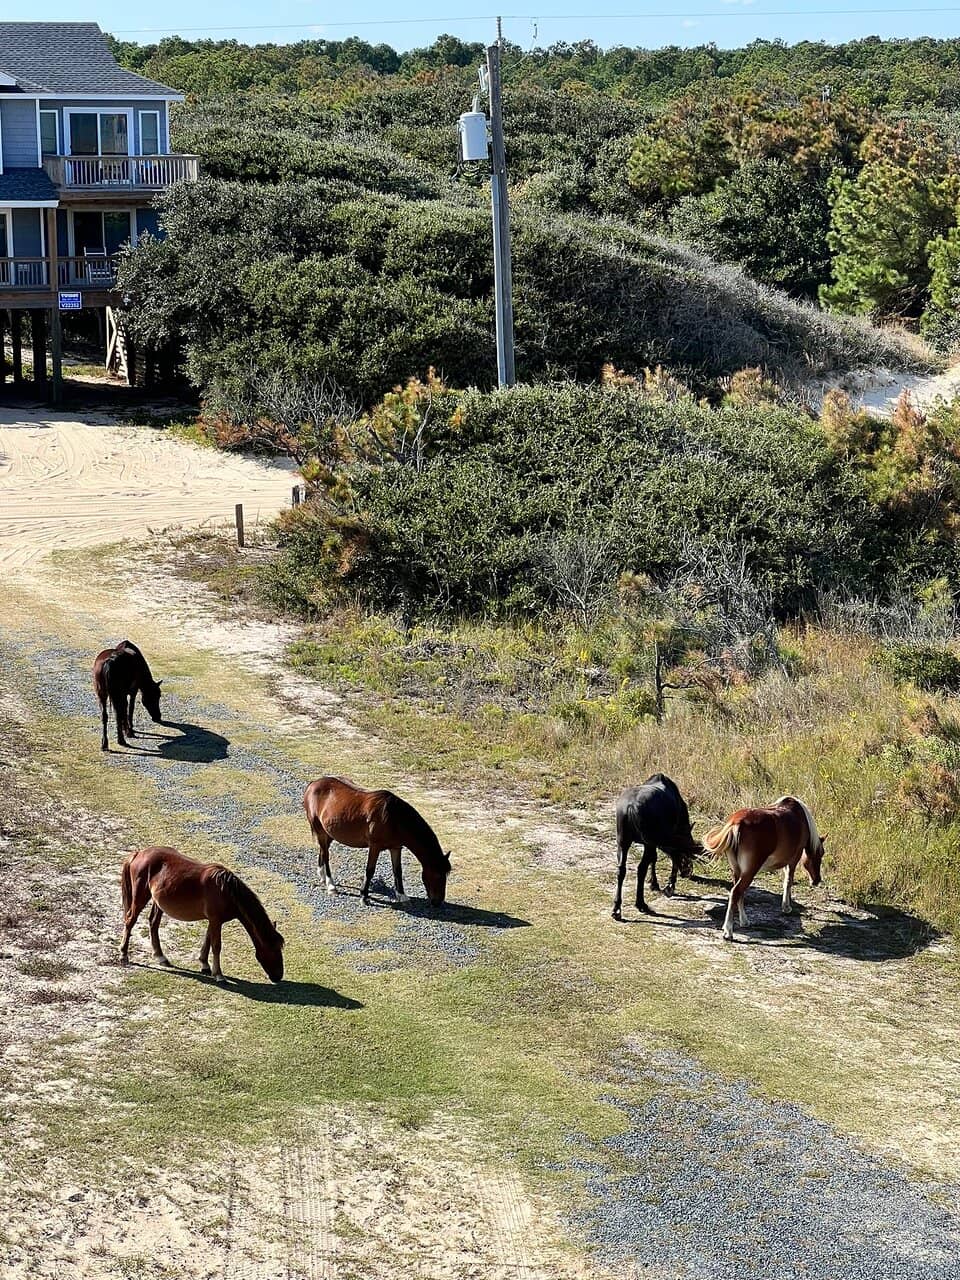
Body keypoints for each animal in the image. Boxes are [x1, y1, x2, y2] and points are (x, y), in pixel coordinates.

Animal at [119, 846, 284, 982]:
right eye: (274, 950)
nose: (278, 976)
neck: (226, 890)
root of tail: (139, 853)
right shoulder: (216, 920)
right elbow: (216, 945)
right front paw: (219, 974)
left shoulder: (214, 920)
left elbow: (208, 940)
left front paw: (205, 965)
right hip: (140, 897)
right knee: (130, 920)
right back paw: (124, 955)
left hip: (158, 903)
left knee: (153, 923)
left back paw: (161, 957)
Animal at [303, 776, 451, 908]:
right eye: (438, 875)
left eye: (446, 875)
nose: (437, 902)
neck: (394, 818)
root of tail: (313, 785)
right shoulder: (375, 846)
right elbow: (370, 870)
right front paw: (364, 896)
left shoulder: (396, 847)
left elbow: (397, 871)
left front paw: (402, 896)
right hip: (321, 831)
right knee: (326, 856)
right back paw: (331, 885)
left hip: (329, 833)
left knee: (323, 851)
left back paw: (322, 876)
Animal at [613, 773, 700, 919]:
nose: (688, 872)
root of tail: (631, 807)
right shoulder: (661, 841)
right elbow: (671, 857)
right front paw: (669, 885)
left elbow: (654, 859)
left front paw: (654, 883)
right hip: (646, 842)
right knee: (641, 868)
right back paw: (641, 904)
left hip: (623, 841)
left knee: (621, 870)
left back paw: (617, 909)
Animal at [703, 796, 826, 941]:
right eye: (821, 854)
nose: (817, 880)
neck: (800, 817)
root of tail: (737, 823)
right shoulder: (793, 860)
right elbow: (788, 882)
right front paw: (786, 907)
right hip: (749, 871)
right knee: (736, 892)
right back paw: (728, 930)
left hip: (738, 871)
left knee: (739, 893)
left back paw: (744, 921)